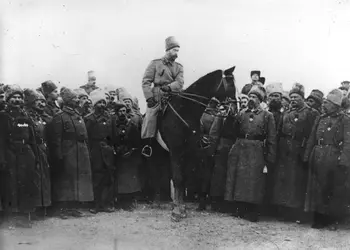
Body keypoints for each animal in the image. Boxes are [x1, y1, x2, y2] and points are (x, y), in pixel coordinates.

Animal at [159, 66, 238, 221]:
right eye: (231, 84)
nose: (235, 110)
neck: (185, 111)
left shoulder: (189, 151)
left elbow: (183, 179)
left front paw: (181, 207)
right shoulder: (176, 150)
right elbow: (178, 178)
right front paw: (177, 211)